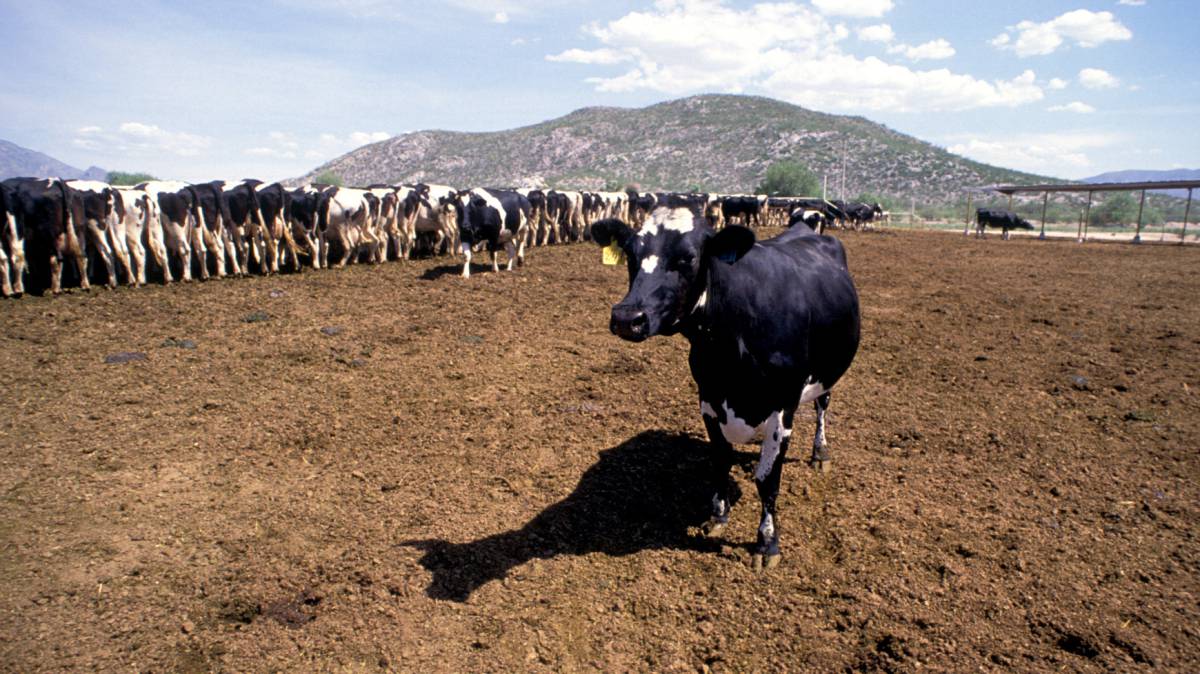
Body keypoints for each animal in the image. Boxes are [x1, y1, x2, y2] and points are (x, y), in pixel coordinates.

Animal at [592, 207, 859, 568]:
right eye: (631, 255)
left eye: (688, 258)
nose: (626, 318)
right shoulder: (709, 398)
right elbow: (720, 461)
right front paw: (717, 516)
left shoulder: (782, 406)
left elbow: (767, 480)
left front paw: (767, 543)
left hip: (828, 374)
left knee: (822, 406)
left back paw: (820, 453)